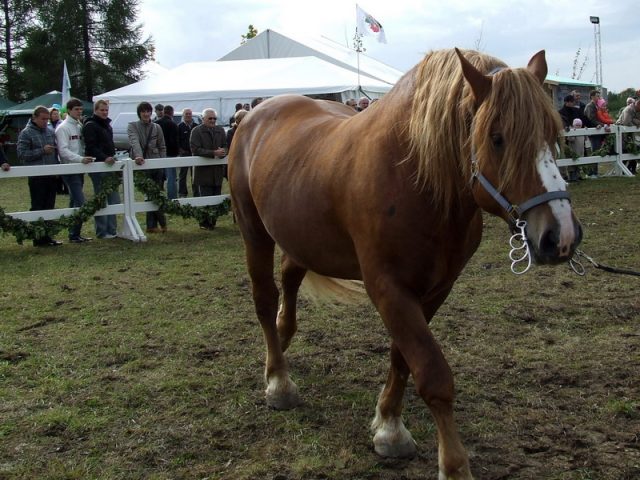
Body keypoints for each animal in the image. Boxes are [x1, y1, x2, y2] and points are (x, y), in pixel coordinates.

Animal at [228, 49, 584, 480]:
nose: (560, 236)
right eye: (497, 138)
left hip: (301, 236)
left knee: (290, 279)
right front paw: (451, 464)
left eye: (553, 134)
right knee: (264, 298)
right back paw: (279, 381)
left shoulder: (435, 289)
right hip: (254, 232)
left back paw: (281, 344)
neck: (415, 177)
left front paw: (389, 425)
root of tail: (254, 115)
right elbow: (432, 373)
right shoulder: (388, 288)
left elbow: (403, 358)